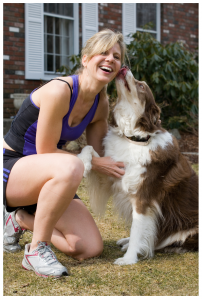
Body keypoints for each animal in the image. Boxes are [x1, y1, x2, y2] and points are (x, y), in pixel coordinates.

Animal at [78, 66, 198, 264]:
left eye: (141, 86)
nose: (124, 67)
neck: (134, 138)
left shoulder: (144, 197)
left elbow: (138, 230)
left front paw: (128, 259)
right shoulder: (112, 174)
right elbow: (89, 149)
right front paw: (83, 162)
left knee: (161, 240)